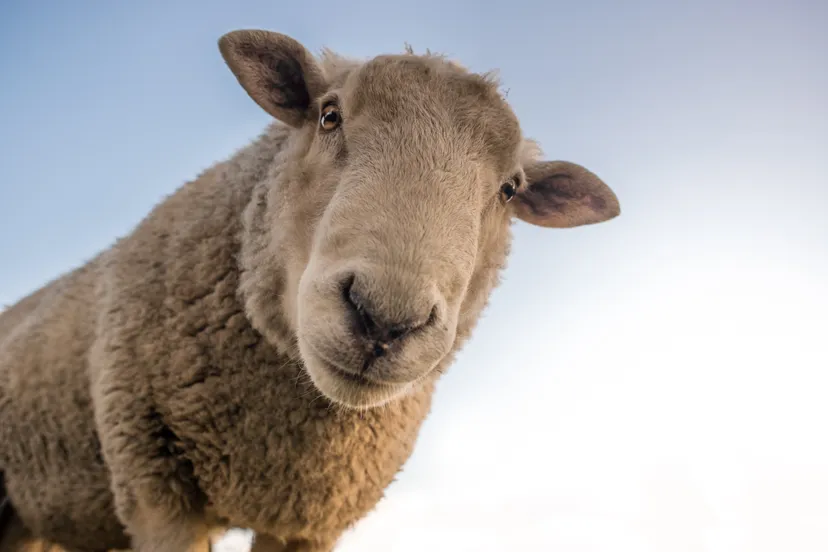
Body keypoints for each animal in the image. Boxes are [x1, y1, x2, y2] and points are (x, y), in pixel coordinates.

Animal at [0, 29, 621, 552]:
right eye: (328, 115)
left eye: (510, 189)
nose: (383, 320)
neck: (278, 442)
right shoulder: (157, 489)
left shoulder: (308, 519)